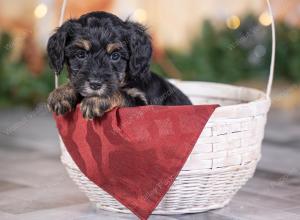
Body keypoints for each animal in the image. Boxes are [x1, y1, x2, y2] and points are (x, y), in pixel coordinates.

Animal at [47, 11, 192, 119]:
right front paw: (61, 93)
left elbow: (120, 94)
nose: (95, 84)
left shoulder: (141, 105)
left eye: (115, 56)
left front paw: (96, 100)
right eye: (81, 54)